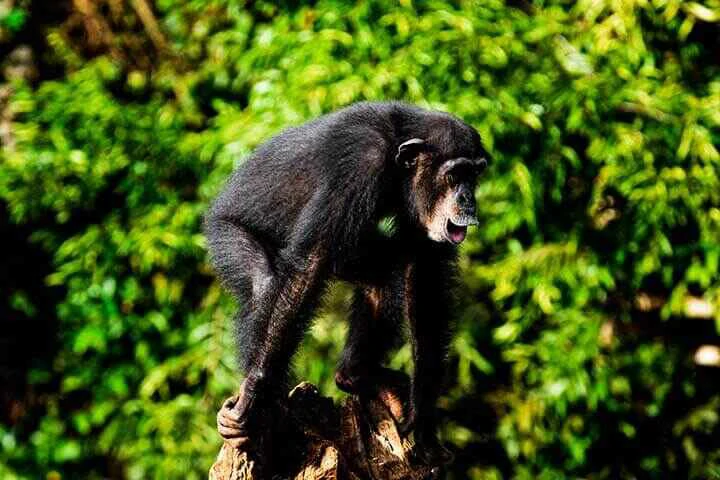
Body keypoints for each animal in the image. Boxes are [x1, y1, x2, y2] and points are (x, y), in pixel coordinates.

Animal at [208, 99, 490, 470]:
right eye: (455, 174)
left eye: (475, 175)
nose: (469, 199)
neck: (396, 156)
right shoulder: (359, 164)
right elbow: (307, 268)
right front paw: (252, 397)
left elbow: (426, 273)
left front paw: (425, 419)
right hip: (224, 235)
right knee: (267, 284)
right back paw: (263, 414)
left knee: (383, 276)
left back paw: (356, 375)